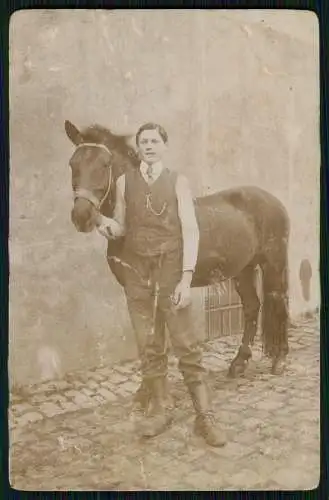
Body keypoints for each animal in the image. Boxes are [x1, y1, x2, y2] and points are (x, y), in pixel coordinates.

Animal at [64, 117, 290, 382]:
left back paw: (279, 360)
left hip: (273, 264)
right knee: (252, 307)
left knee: (279, 301)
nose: (82, 217)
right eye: (73, 163)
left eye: (105, 164)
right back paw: (239, 363)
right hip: (243, 268)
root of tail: (272, 200)